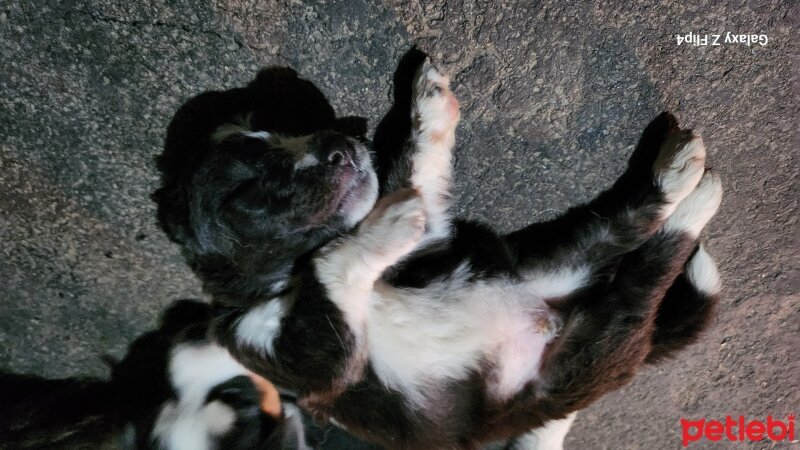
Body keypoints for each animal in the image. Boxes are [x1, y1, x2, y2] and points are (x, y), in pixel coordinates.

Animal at [153, 60, 720, 450]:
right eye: (245, 191)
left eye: (290, 129)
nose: (339, 144)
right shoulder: (311, 362)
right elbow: (330, 262)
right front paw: (388, 222)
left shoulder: (430, 246)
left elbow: (416, 169)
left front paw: (428, 104)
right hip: (582, 358)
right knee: (640, 282)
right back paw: (691, 200)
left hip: (552, 266)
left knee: (622, 227)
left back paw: (679, 177)